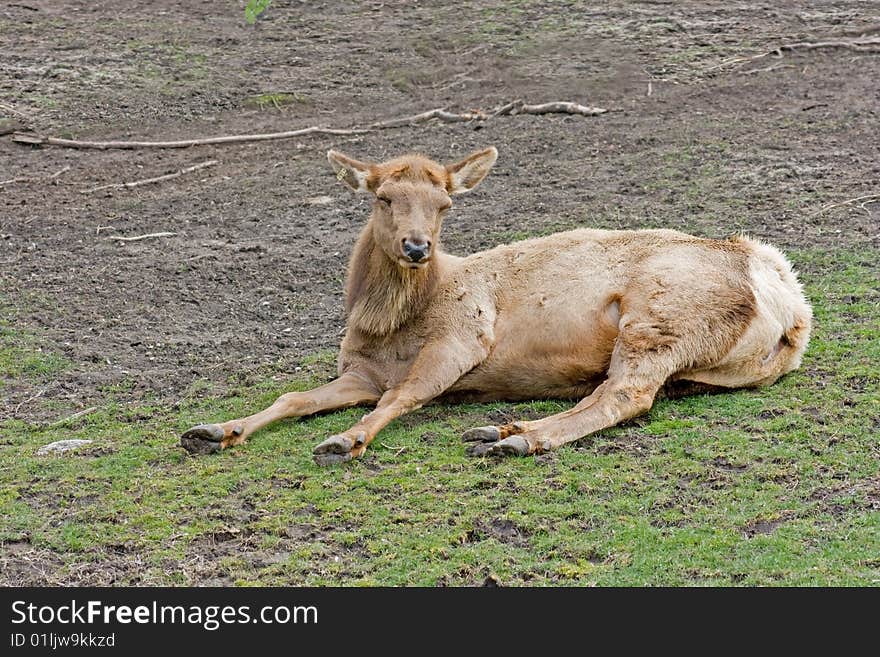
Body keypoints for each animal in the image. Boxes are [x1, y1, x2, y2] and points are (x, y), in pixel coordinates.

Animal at [179, 146, 812, 464]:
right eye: (383, 197)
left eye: (444, 204)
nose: (417, 247)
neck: (385, 325)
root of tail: (791, 305)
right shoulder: (360, 371)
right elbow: (296, 397)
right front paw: (213, 430)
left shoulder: (463, 336)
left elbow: (403, 396)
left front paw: (346, 441)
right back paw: (503, 429)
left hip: (662, 317)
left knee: (626, 396)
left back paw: (511, 437)